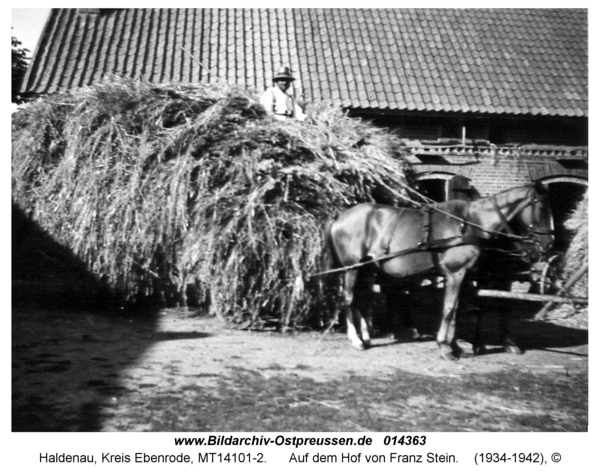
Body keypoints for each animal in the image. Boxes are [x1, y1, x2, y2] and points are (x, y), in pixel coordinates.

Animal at [326, 182, 556, 360]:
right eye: (542, 208)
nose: (548, 245)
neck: (470, 222)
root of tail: (340, 217)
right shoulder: (456, 273)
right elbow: (449, 308)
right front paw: (444, 347)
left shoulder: (465, 276)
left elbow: (457, 310)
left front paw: (455, 346)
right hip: (351, 267)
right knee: (348, 299)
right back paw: (356, 339)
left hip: (365, 268)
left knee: (361, 298)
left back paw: (365, 336)